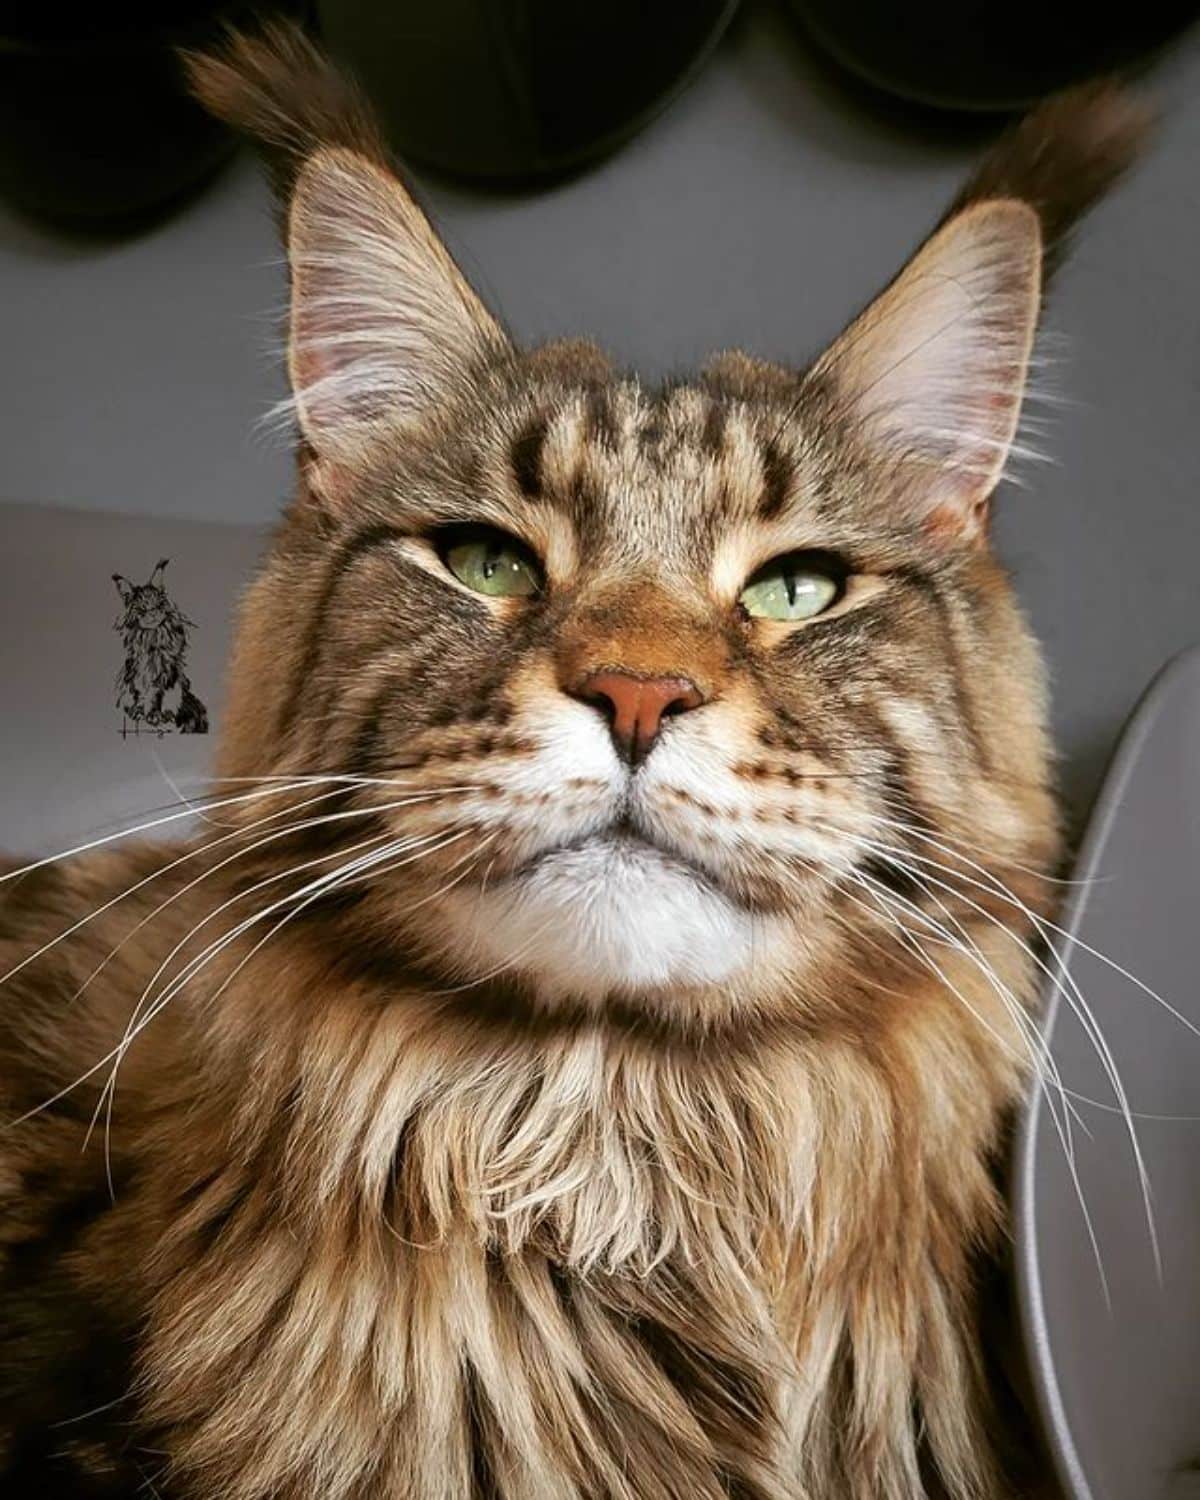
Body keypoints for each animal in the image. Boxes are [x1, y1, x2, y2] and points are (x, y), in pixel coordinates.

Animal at [114, 561, 210, 735]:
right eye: (141, 608)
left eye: (158, 605)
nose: (152, 613)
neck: (150, 638)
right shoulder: (137, 671)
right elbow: (141, 693)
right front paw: (139, 711)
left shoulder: (165, 672)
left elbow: (157, 695)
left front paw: (154, 715)